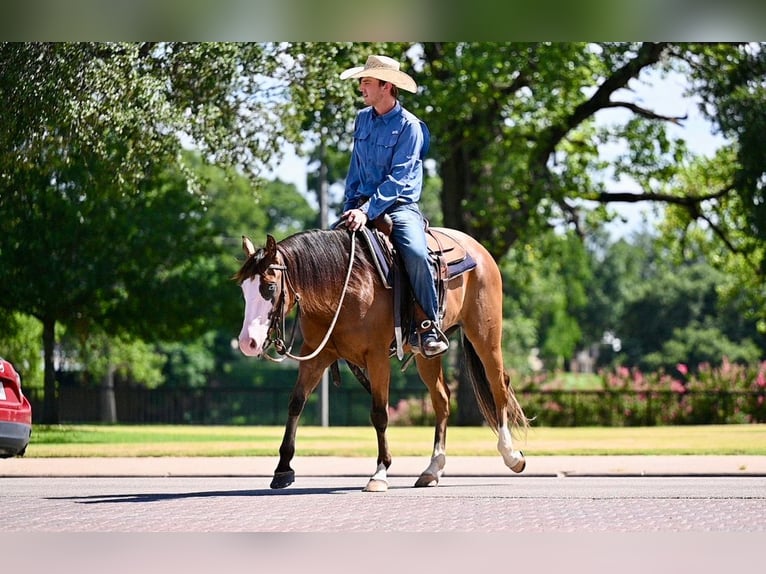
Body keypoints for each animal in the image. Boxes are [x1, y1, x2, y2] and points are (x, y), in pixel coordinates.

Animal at [234, 227, 532, 492]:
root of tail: (478, 249)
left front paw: (379, 473)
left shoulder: (376, 357)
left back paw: (511, 456)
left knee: (499, 387)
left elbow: (379, 413)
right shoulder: (317, 355)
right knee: (442, 400)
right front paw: (283, 469)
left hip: (485, 335)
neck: (344, 286)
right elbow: (296, 403)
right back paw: (432, 469)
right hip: (427, 355)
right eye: (243, 290)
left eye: (269, 287)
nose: (248, 343)